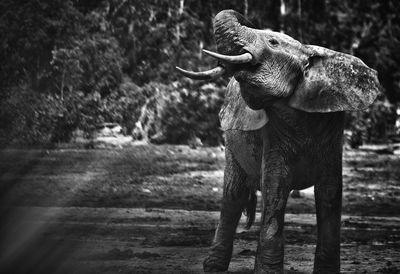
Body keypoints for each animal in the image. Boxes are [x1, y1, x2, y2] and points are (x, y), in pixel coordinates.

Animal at [177, 9, 380, 274]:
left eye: (273, 42)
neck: (306, 50)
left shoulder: (332, 130)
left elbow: (330, 191)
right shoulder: (273, 132)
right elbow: (276, 187)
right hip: (231, 143)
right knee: (233, 196)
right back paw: (213, 267)